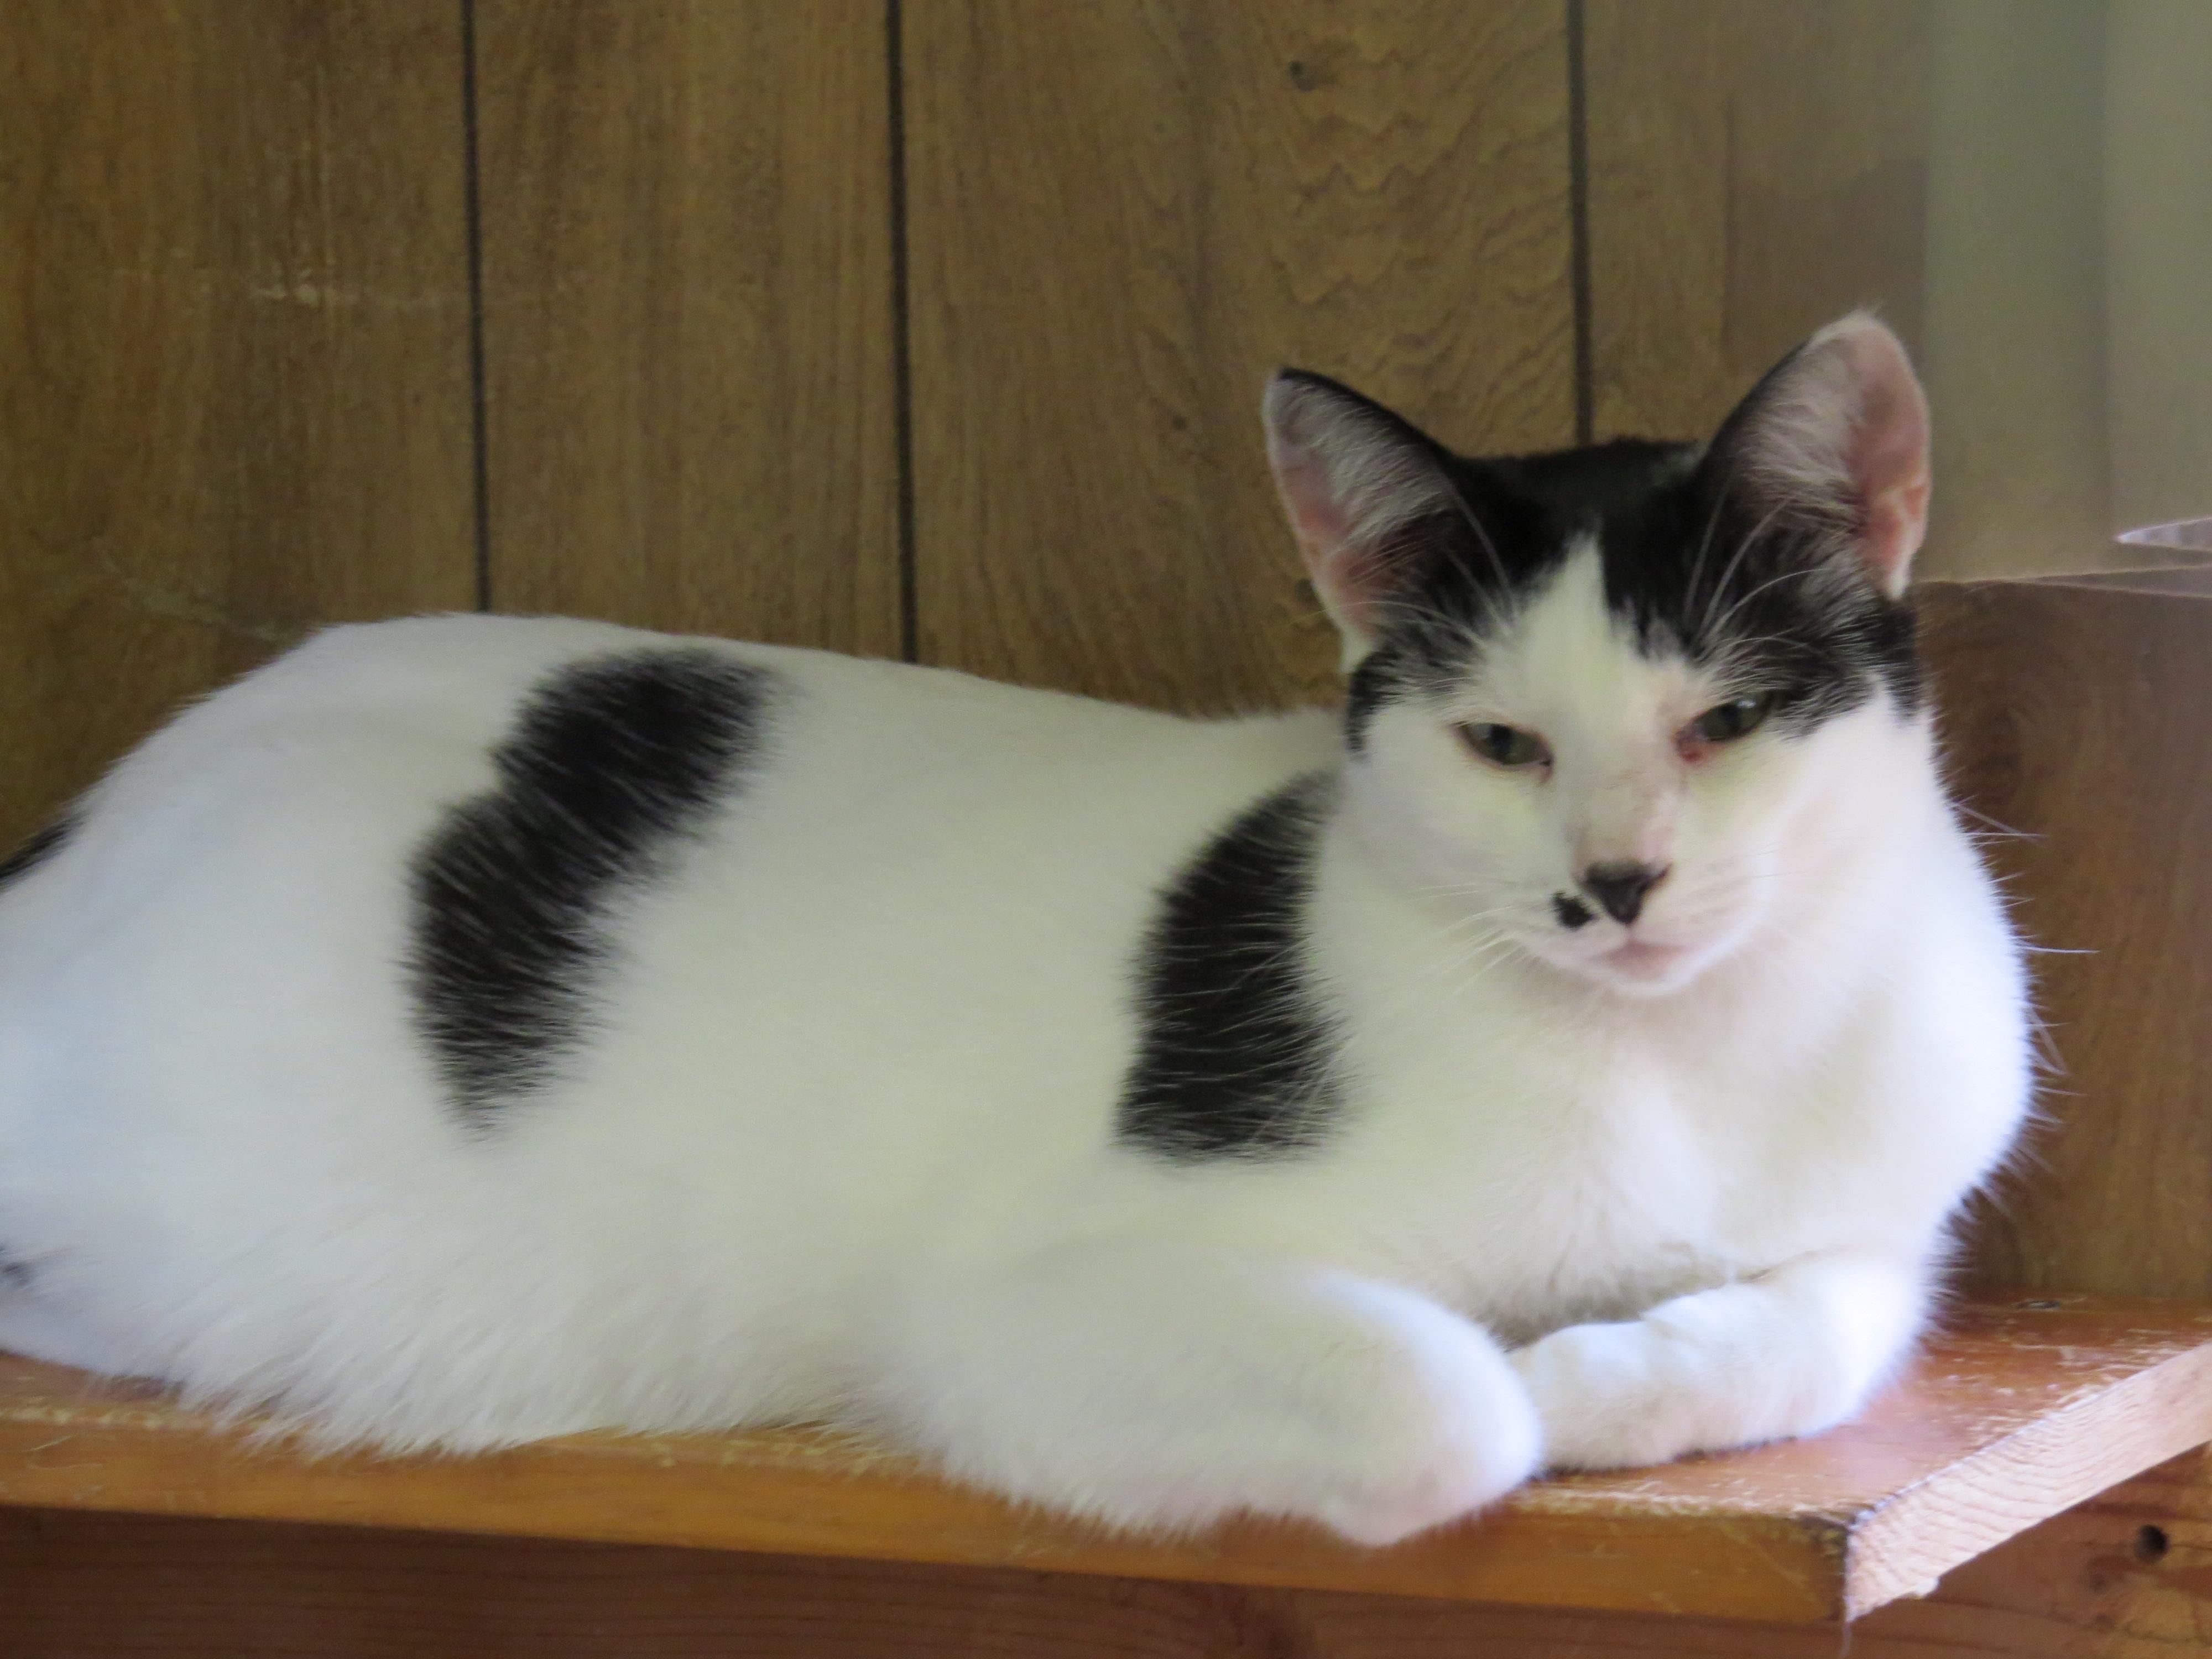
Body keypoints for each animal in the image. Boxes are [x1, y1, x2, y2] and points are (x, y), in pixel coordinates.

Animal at [0, 319, 2026, 1557]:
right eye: (1503, 744)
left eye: (1723, 724)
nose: (1616, 886)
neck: (1678, 1070)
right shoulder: (1011, 1315)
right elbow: (1453, 1405)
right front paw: (1533, 1381)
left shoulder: (1883, 1226)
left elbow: (1828, 1320)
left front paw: (1613, 1376)